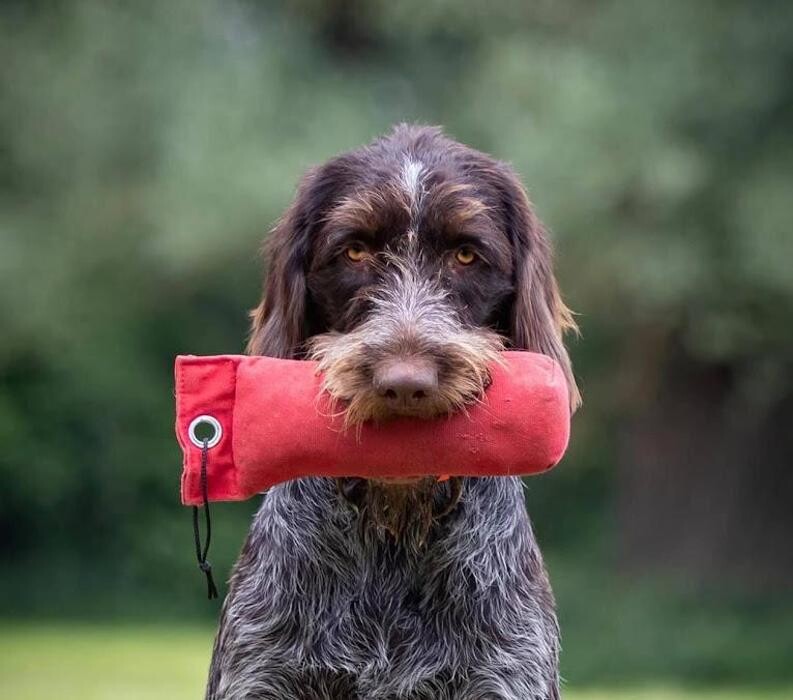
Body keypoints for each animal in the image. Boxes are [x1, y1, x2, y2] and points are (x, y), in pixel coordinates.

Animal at [207, 126, 580, 700]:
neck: (395, 534)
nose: (405, 385)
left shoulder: (506, 674)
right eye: (355, 251)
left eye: (466, 255)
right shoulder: (260, 674)